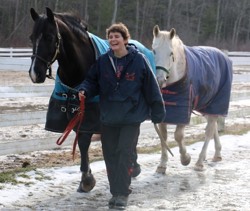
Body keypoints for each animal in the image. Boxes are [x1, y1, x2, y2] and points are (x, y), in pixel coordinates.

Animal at [29, 7, 141, 193]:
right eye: (31, 38)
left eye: (49, 37)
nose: (34, 73)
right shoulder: (77, 112)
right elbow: (82, 142)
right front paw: (86, 178)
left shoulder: (95, 117)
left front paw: (89, 179)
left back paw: (134, 165)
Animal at [152, 25, 232, 172]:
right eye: (154, 51)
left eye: (171, 53)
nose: (160, 79)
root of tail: (224, 56)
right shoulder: (164, 113)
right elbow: (163, 136)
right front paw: (162, 165)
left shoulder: (184, 112)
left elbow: (178, 136)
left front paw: (185, 158)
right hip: (205, 106)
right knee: (213, 127)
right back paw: (217, 154)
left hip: (215, 105)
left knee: (209, 130)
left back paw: (200, 162)